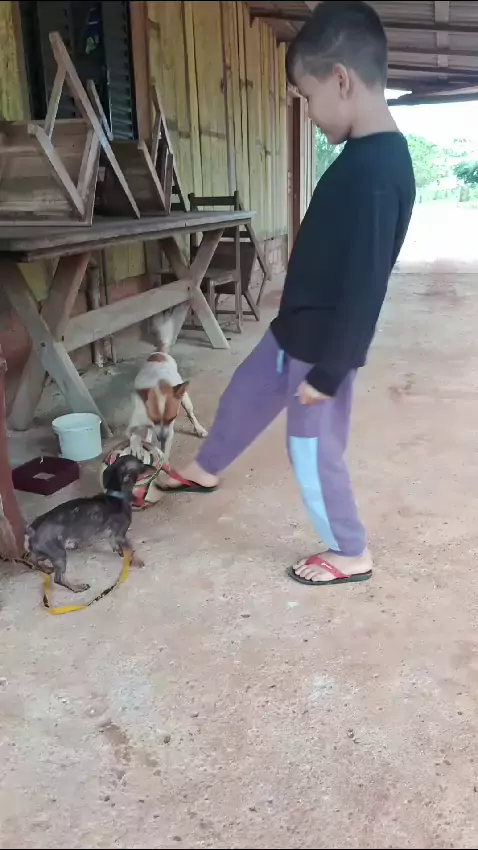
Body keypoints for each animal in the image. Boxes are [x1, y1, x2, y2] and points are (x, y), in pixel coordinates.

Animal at [24, 456, 149, 593]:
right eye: (141, 465)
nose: (153, 467)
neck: (117, 496)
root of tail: (32, 531)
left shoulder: (114, 535)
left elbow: (114, 543)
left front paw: (119, 550)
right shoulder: (121, 535)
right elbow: (131, 550)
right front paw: (137, 561)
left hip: (44, 553)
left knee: (32, 559)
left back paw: (46, 569)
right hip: (59, 555)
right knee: (58, 578)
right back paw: (77, 588)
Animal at [127, 304, 208, 459]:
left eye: (172, 418)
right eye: (155, 420)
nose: (162, 438)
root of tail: (160, 352)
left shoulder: (169, 433)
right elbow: (137, 434)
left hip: (185, 400)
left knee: (191, 414)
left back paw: (199, 429)